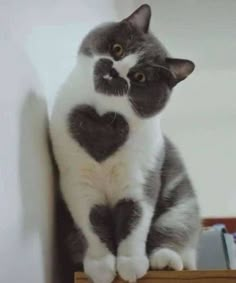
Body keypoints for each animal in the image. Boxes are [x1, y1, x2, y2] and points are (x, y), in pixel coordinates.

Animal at [50, 4, 201, 283]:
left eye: (139, 76)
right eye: (118, 49)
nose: (114, 69)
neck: (104, 115)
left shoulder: (141, 179)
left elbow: (135, 220)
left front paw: (131, 263)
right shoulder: (77, 181)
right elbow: (92, 222)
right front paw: (100, 265)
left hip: (180, 203)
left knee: (173, 231)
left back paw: (166, 261)